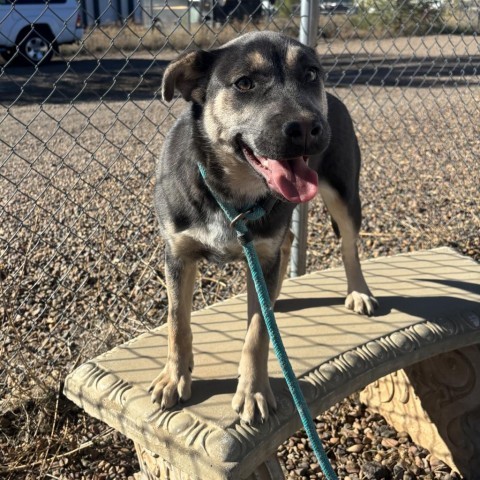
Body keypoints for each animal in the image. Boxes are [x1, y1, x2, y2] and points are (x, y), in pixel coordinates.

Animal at [150, 31, 378, 424]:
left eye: (311, 74)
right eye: (244, 83)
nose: (307, 128)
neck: (231, 194)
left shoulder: (262, 253)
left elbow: (256, 333)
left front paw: (253, 391)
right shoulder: (178, 254)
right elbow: (177, 321)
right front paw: (174, 377)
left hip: (344, 195)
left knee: (348, 247)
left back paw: (357, 291)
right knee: (288, 240)